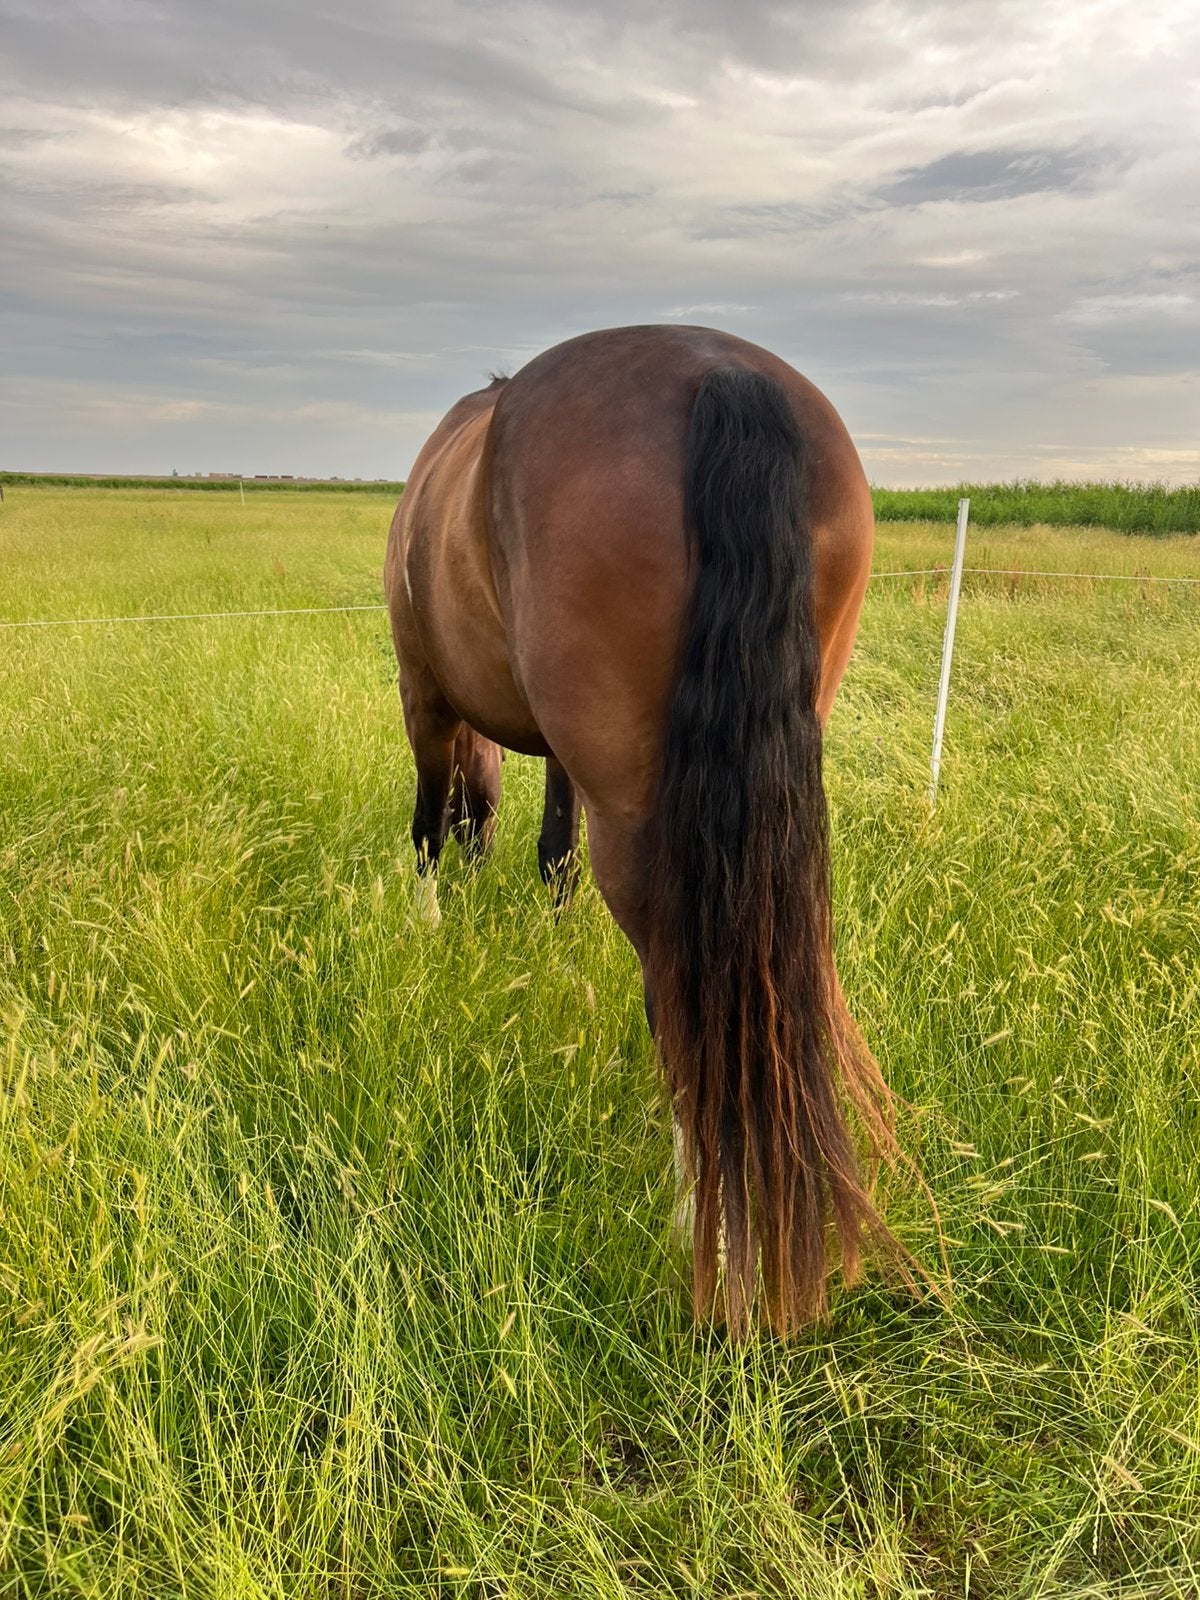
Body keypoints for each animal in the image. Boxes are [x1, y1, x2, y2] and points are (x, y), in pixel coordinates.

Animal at [384, 324, 904, 1337]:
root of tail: (720, 372)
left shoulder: (421, 692)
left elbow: (426, 826)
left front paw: (427, 930)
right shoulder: (556, 755)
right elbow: (552, 856)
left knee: (686, 1006)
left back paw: (714, 1247)